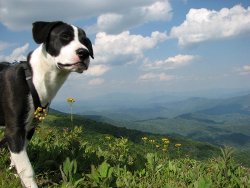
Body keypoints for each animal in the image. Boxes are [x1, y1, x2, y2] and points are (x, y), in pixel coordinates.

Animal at [0, 21, 94, 187]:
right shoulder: (14, 130)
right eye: (64, 36)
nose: (84, 53)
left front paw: (13, 173)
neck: (34, 77)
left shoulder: (29, 128)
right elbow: (27, 169)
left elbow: (18, 160)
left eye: (85, 41)